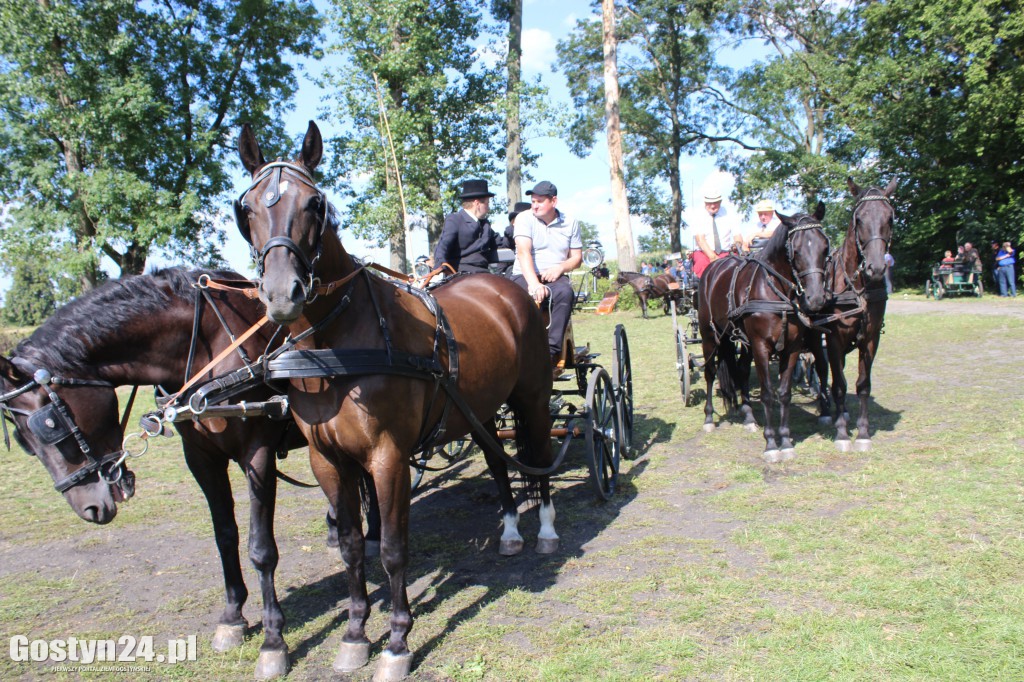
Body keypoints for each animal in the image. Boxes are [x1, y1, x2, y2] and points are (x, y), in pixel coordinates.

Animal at [235, 122, 557, 679]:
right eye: (248, 208)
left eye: (314, 204)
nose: (280, 295)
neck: (335, 347)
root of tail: (509, 288)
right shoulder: (328, 461)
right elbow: (350, 547)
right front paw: (355, 633)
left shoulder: (387, 458)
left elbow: (390, 549)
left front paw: (397, 641)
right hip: (478, 409)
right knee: (499, 459)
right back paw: (512, 529)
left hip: (533, 397)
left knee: (538, 456)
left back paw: (547, 529)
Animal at [696, 200, 831, 456]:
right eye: (796, 251)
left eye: (825, 248)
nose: (817, 298)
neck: (774, 290)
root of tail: (714, 268)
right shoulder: (760, 346)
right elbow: (768, 393)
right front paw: (770, 443)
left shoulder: (792, 348)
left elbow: (785, 393)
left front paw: (785, 441)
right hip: (709, 336)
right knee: (709, 372)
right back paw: (708, 419)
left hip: (736, 340)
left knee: (738, 370)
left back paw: (748, 416)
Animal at [815, 178, 897, 448]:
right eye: (859, 219)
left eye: (890, 218)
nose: (876, 268)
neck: (856, 287)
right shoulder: (834, 338)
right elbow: (839, 384)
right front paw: (841, 432)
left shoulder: (871, 338)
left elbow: (862, 384)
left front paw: (862, 431)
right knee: (823, 370)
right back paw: (828, 412)